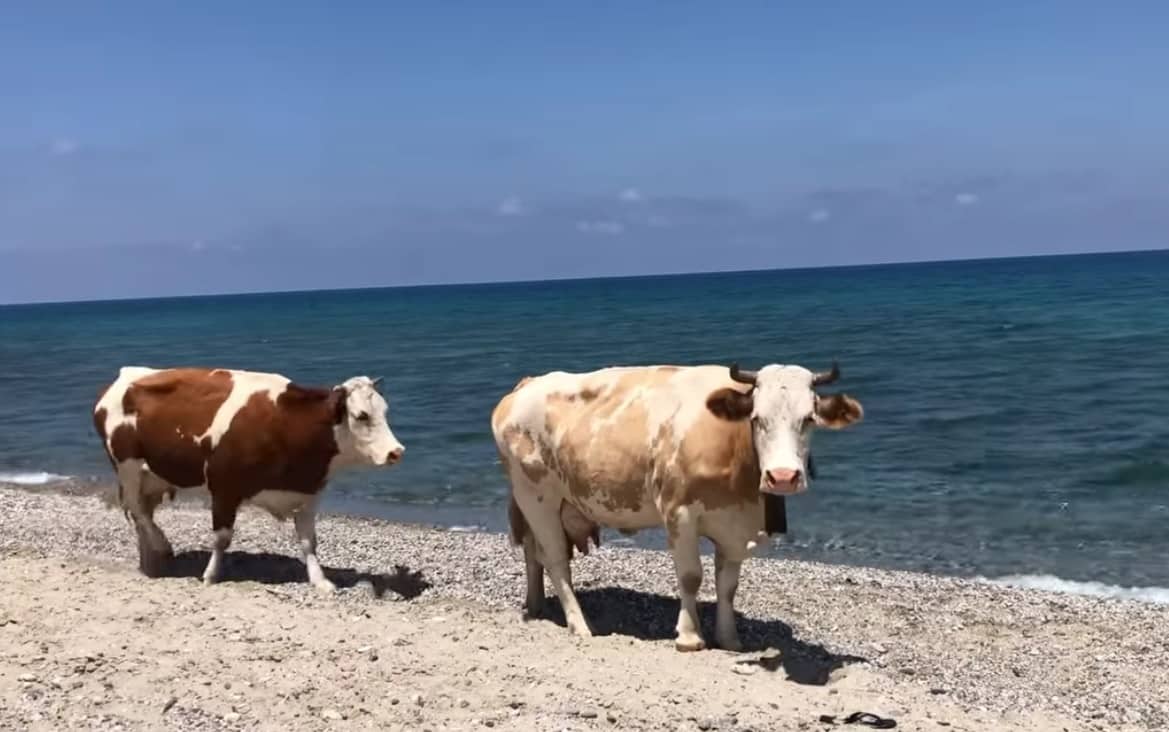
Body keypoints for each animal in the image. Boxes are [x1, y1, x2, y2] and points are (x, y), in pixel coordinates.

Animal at [91, 364, 404, 587]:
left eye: (385, 411)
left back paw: (151, 561)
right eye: (362, 415)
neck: (287, 423)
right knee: (138, 510)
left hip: (153, 477)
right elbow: (222, 538)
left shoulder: (307, 492)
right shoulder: (223, 487)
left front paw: (320, 581)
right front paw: (211, 575)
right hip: (128, 468)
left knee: (142, 514)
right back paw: (162, 547)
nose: (396, 452)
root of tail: (127, 374)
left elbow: (308, 541)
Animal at [488, 360, 865, 650]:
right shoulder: (679, 512)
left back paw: (537, 606)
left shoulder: (734, 525)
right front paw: (689, 636)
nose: (783, 476)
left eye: (809, 419)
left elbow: (727, 586)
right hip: (536, 495)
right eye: (757, 418)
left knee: (532, 551)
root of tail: (527, 385)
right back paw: (579, 625)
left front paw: (729, 638)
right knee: (554, 559)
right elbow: (691, 576)